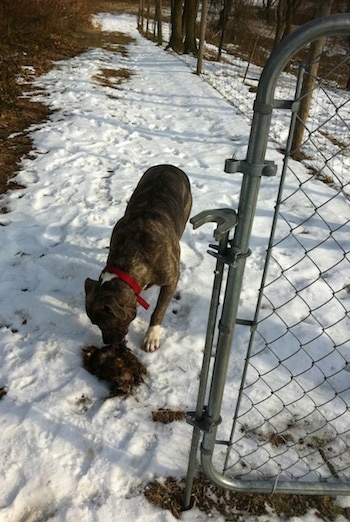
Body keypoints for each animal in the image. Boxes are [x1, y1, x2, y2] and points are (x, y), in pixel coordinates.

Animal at [86, 164, 193, 350]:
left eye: (106, 325)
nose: (107, 343)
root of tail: (168, 165)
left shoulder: (171, 280)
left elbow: (159, 310)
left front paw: (151, 337)